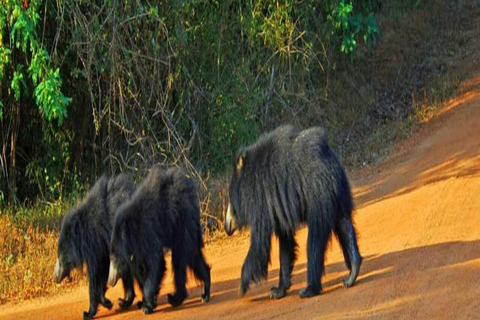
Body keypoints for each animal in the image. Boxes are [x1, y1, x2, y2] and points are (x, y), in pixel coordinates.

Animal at [55, 174, 136, 318]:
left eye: (61, 256)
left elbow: (95, 275)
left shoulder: (94, 244)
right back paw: (125, 301)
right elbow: (103, 272)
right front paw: (108, 302)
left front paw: (88, 312)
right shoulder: (102, 248)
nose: (55, 277)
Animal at [109, 166, 210, 314]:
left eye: (113, 259)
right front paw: (144, 302)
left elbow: (156, 264)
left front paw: (146, 306)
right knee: (193, 254)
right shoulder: (136, 249)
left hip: (182, 220)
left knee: (181, 256)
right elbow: (141, 270)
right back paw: (203, 292)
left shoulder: (148, 233)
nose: (110, 281)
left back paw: (177, 298)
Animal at [224, 125, 360, 300]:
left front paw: (241, 287)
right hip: (339, 193)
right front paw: (277, 291)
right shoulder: (277, 208)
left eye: (230, 199)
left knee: (315, 241)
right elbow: (285, 245)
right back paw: (352, 274)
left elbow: (260, 244)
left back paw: (309, 289)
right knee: (344, 224)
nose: (226, 226)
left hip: (318, 196)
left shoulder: (260, 201)